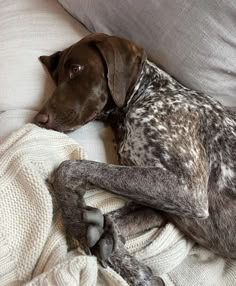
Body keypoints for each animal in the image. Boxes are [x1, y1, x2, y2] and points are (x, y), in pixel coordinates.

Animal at [34, 34, 236, 286]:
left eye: (76, 69)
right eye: (56, 77)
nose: (39, 119)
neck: (146, 95)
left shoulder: (188, 190)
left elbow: (68, 168)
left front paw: (75, 220)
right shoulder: (160, 206)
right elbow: (109, 222)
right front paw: (133, 269)